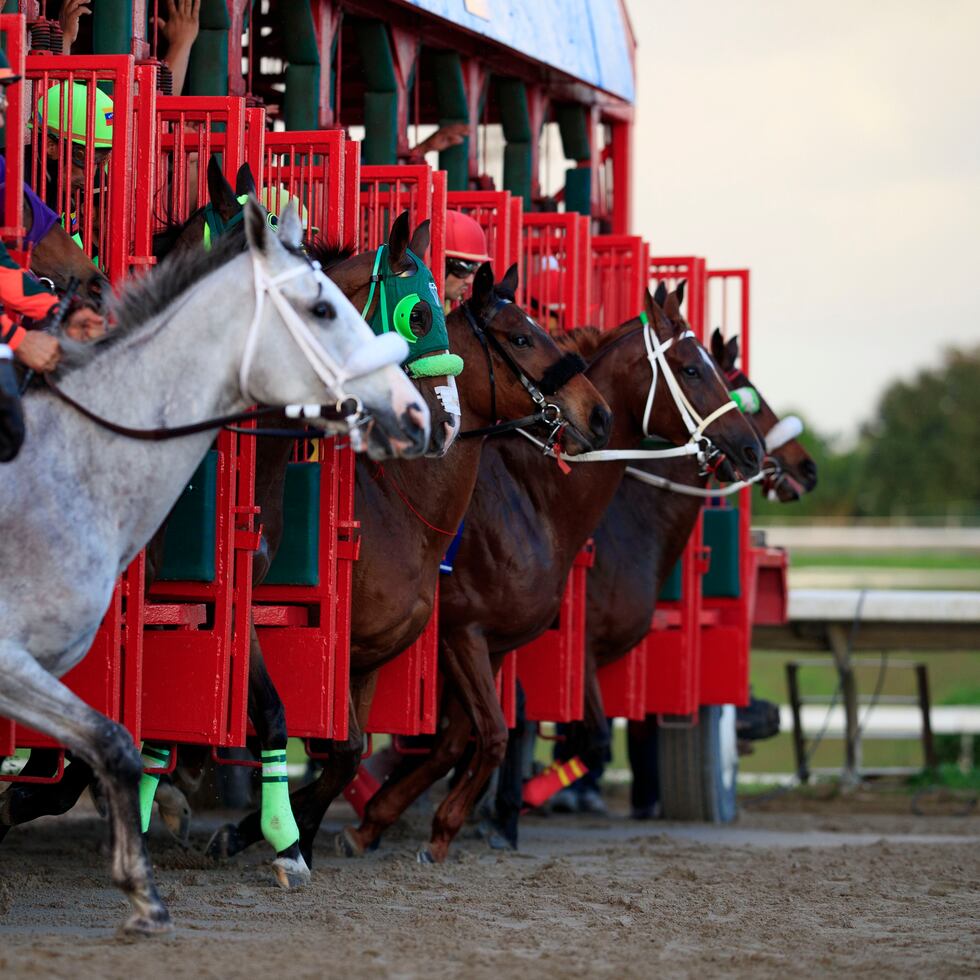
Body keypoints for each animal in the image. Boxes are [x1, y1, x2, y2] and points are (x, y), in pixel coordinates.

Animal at [211, 256, 612, 868]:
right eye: (522, 337)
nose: (600, 413)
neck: (404, 509)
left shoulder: (378, 654)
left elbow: (356, 751)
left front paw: (297, 832)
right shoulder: (443, 635)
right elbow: (343, 744)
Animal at [336, 286, 764, 864]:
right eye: (692, 369)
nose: (753, 450)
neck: (535, 499)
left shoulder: (493, 642)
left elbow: (462, 738)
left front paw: (394, 819)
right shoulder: (464, 631)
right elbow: (497, 734)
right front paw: (455, 821)